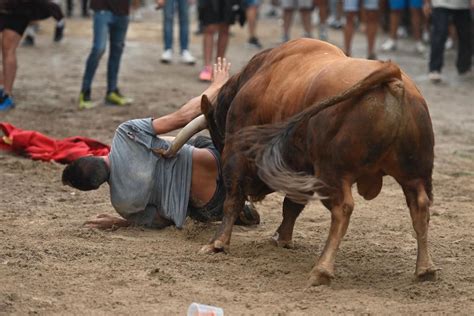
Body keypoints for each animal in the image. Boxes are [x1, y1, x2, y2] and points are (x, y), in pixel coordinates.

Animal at [165, 38, 436, 286]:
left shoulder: (235, 155)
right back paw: (425, 269)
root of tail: (393, 77)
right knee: (419, 206)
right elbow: (291, 206)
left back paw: (322, 269)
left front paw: (217, 244)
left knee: (343, 209)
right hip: (413, 174)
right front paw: (281, 239)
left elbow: (233, 200)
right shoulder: (300, 171)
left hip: (332, 173)